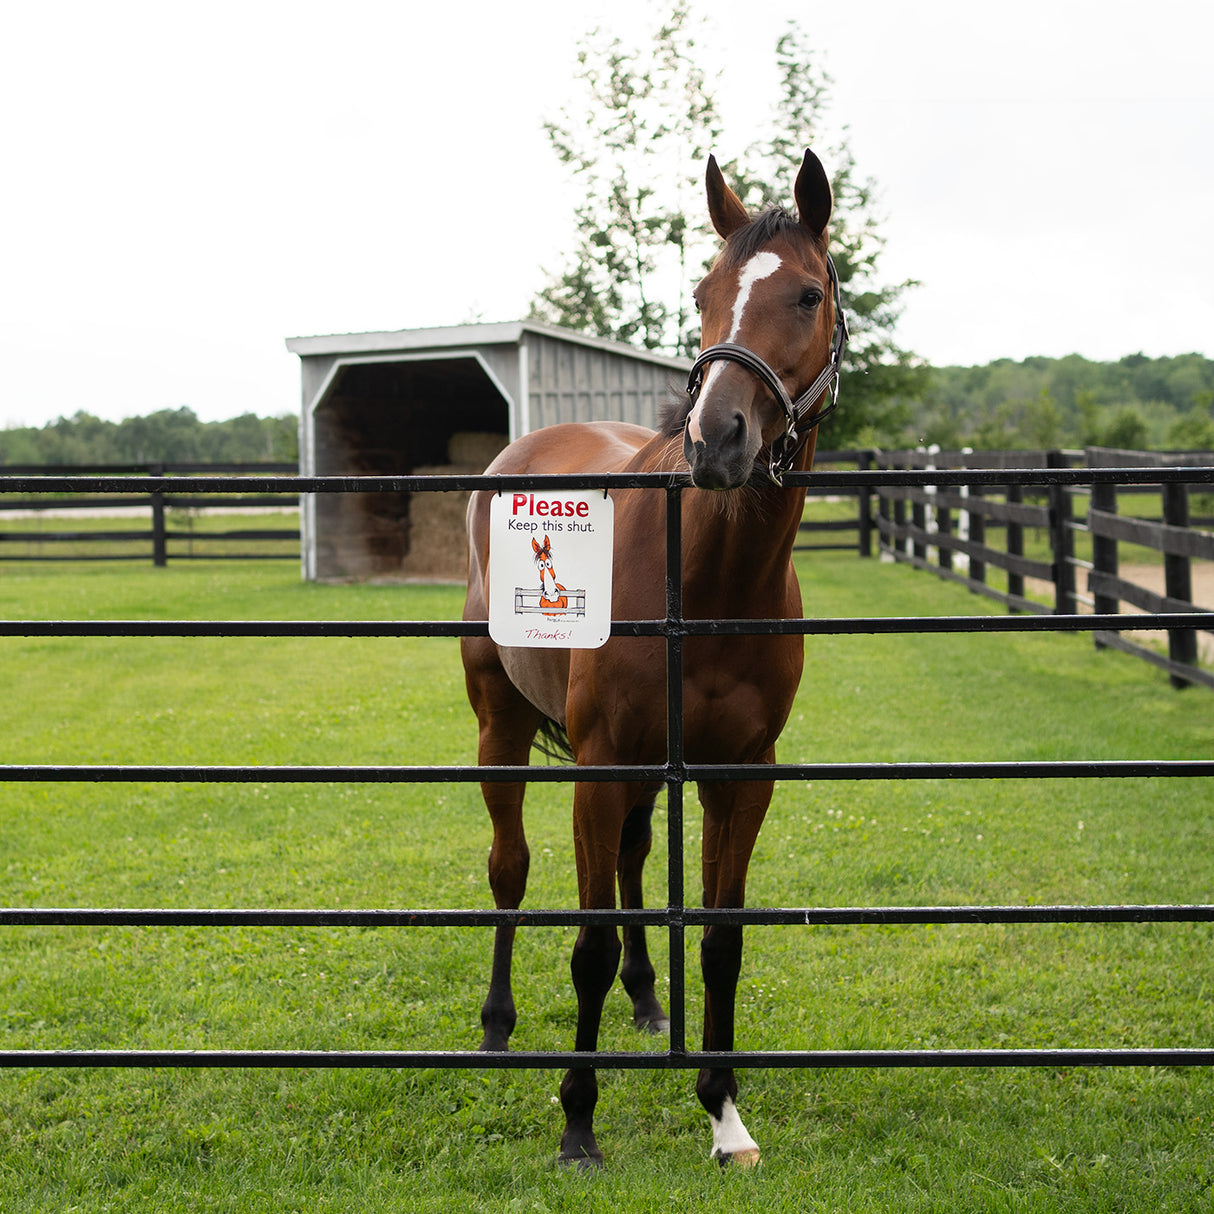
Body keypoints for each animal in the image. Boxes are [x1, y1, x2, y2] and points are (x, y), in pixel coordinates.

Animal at [458, 151, 849, 1165]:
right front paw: (577, 1124)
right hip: (501, 727)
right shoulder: (598, 765)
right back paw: (497, 1026)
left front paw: (723, 1111)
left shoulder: (738, 776)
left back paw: (644, 1000)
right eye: (706, 293)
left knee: (633, 861)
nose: (718, 439)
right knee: (510, 867)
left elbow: (719, 940)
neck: (702, 584)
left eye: (806, 294)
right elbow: (587, 942)